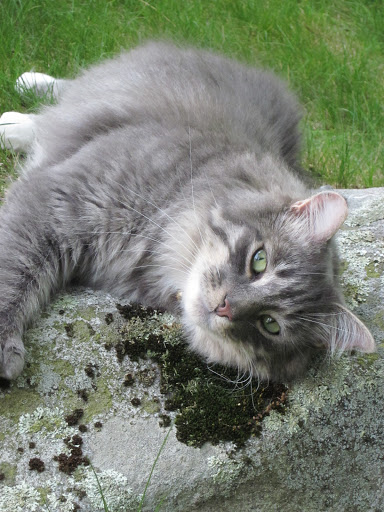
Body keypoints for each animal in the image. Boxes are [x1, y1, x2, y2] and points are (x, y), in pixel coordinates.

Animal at [0, 42, 374, 382]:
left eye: (269, 324)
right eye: (259, 261)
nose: (224, 306)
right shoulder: (60, 201)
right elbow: (14, 272)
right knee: (62, 94)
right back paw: (19, 103)